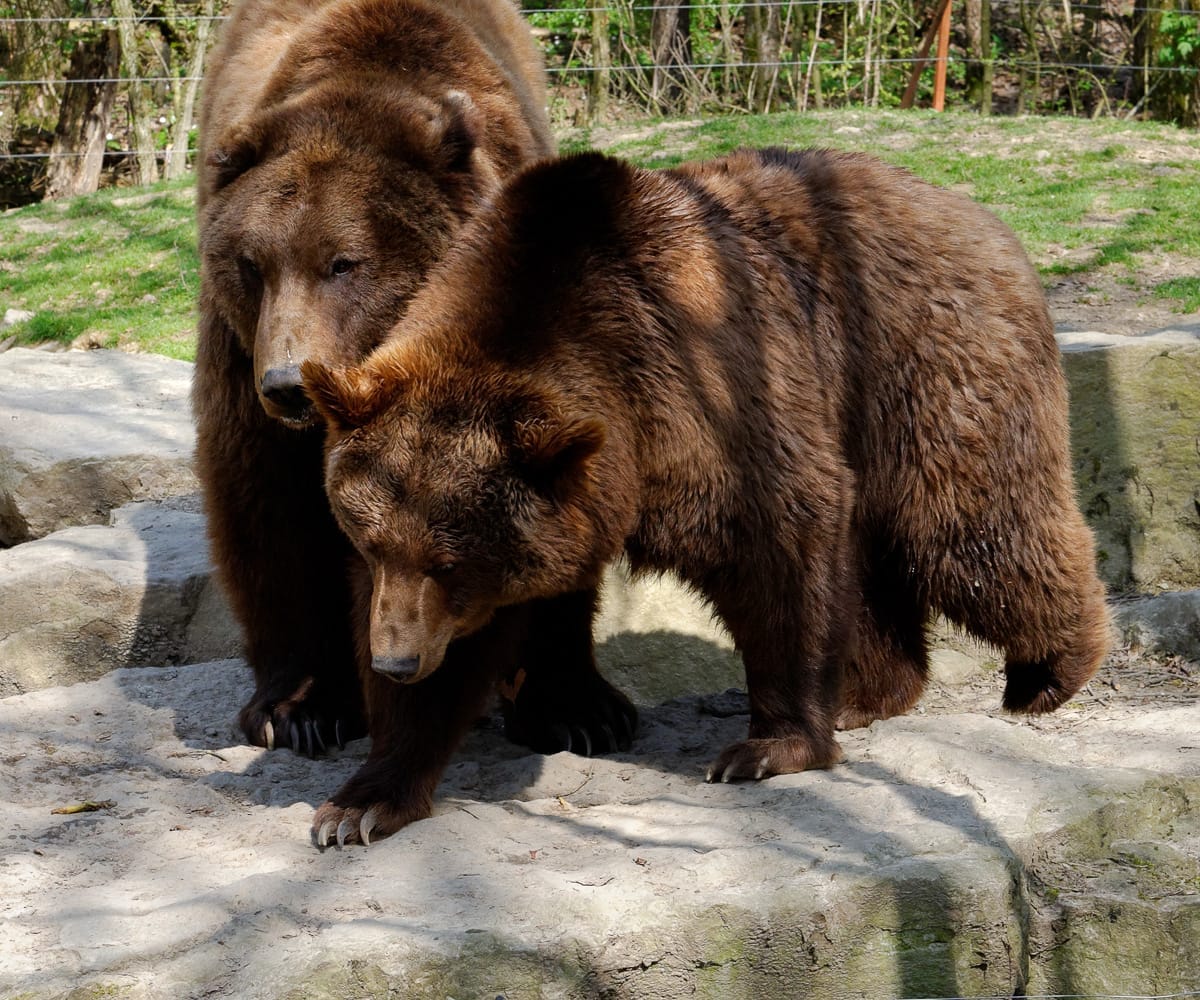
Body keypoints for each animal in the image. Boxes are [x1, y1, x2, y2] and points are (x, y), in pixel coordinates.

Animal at [194, 0, 638, 758]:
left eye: (344, 262)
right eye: (253, 264)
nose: (285, 384)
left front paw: (579, 708)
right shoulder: (239, 353)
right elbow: (270, 502)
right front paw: (300, 706)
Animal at [304, 146, 1108, 845]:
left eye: (449, 561)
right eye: (370, 544)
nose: (394, 660)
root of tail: (980, 217)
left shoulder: (715, 392)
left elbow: (784, 549)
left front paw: (770, 746)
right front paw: (361, 804)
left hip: (926, 372)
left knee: (979, 532)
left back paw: (1049, 673)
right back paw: (868, 694)